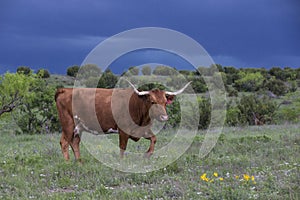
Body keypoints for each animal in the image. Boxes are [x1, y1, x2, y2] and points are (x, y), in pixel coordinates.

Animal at [55, 80, 191, 161]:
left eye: (165, 102)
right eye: (152, 102)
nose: (164, 117)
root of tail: (64, 90)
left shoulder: (141, 130)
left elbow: (154, 138)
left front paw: (147, 154)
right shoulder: (123, 131)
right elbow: (122, 147)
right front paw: (121, 163)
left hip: (78, 127)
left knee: (74, 142)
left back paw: (79, 163)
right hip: (68, 123)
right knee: (66, 143)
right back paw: (68, 163)